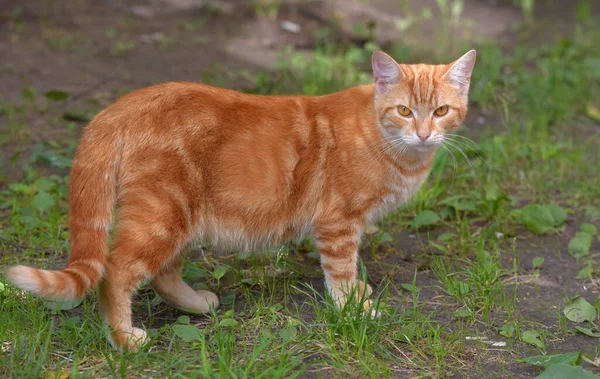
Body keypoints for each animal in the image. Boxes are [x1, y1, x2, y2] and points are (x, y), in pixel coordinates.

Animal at [4, 49, 474, 350]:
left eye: (441, 111)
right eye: (405, 111)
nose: (424, 134)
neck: (394, 148)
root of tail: (116, 108)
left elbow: (351, 269)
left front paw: (360, 292)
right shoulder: (338, 223)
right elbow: (340, 272)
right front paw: (352, 309)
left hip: (180, 218)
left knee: (162, 273)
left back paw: (197, 304)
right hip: (162, 214)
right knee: (116, 271)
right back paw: (123, 339)